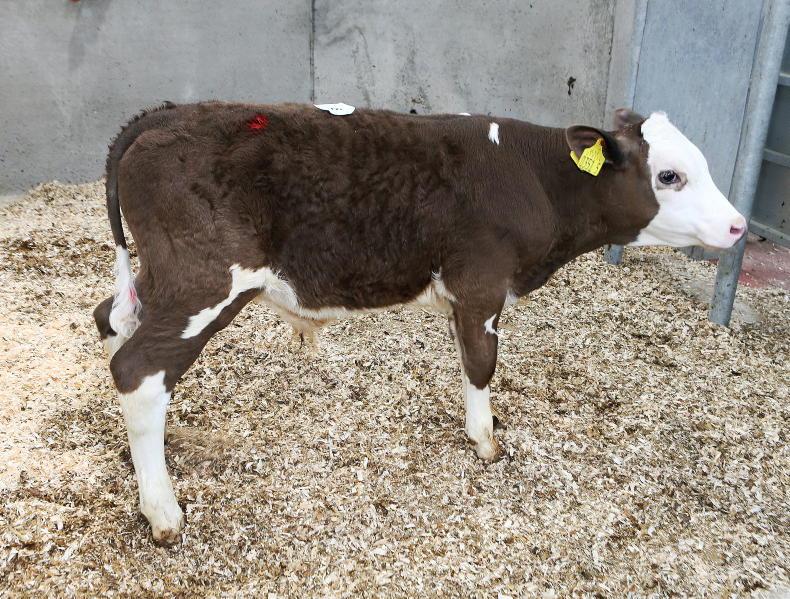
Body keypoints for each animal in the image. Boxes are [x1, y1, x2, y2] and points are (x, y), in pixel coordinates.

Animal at [93, 102, 746, 545]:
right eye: (670, 176)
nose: (740, 225)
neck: (533, 177)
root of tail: (162, 116)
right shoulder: (480, 283)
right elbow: (481, 363)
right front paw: (485, 440)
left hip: (161, 280)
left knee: (116, 325)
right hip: (205, 281)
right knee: (138, 369)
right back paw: (163, 511)